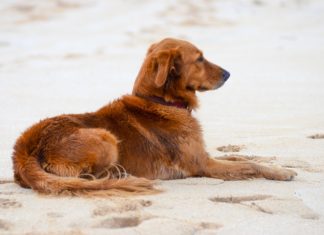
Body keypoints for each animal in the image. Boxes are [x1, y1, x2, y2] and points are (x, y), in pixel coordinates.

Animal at [12, 38, 296, 196]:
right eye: (200, 58)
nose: (228, 74)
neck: (162, 101)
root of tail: (24, 151)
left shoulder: (204, 155)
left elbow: (243, 157)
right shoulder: (203, 165)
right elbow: (249, 165)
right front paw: (281, 172)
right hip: (106, 137)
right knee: (86, 176)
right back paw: (119, 176)